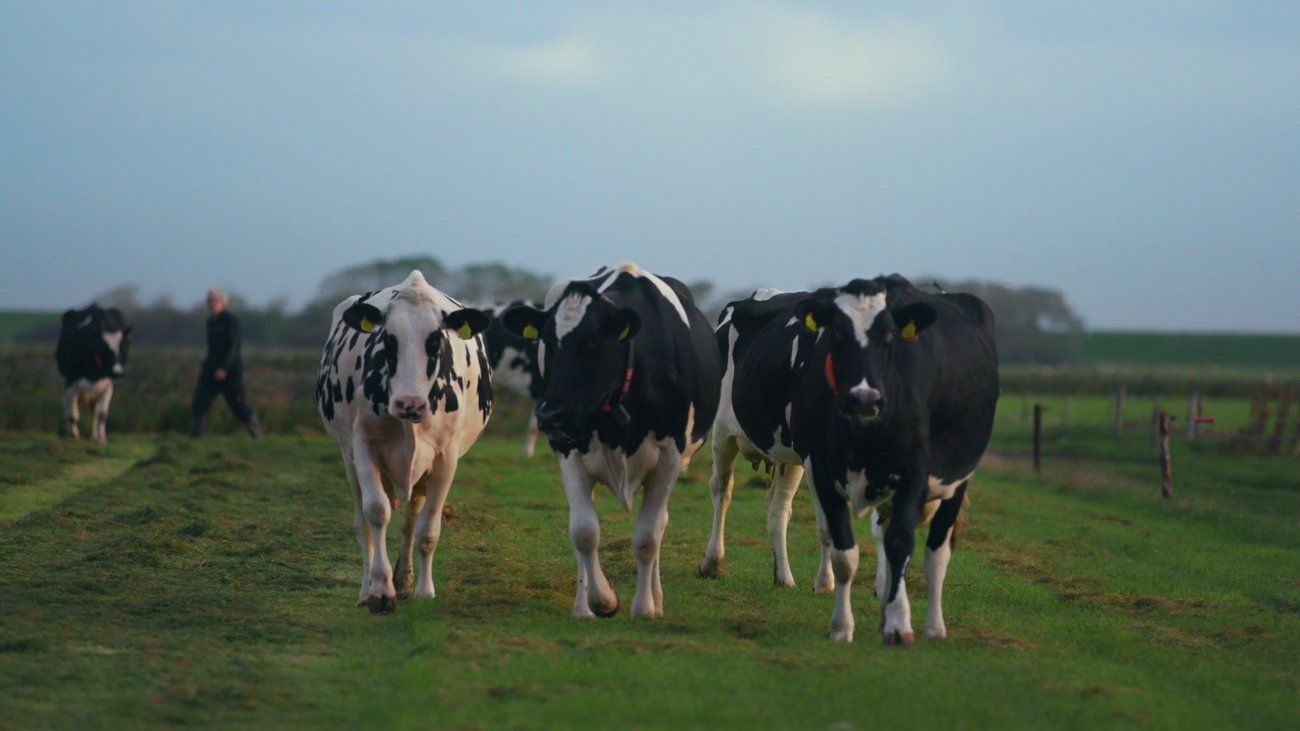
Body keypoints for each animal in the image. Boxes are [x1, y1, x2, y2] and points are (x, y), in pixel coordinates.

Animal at [55, 304, 134, 445]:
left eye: (123, 349)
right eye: (106, 349)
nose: (117, 372)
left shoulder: (109, 384)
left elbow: (102, 414)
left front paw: (101, 439)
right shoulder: (71, 380)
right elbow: (73, 414)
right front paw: (73, 435)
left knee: (94, 411)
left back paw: (93, 436)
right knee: (68, 408)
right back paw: (69, 432)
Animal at [315, 270, 493, 615]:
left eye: (435, 341)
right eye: (388, 340)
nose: (410, 403)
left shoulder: (445, 458)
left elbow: (427, 530)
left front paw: (423, 590)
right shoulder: (363, 445)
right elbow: (376, 513)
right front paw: (381, 591)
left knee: (410, 521)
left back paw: (406, 581)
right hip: (348, 456)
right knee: (364, 526)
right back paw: (367, 588)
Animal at [500, 262, 722, 618]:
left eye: (592, 342)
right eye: (546, 341)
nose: (549, 415)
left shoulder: (670, 456)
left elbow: (647, 536)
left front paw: (644, 607)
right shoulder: (569, 449)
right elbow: (584, 532)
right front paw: (600, 600)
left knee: (660, 523)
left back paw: (656, 599)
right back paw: (583, 604)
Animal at [701, 275, 998, 644]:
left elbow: (900, 538)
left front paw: (893, 600)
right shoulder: (821, 465)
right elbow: (833, 531)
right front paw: (830, 586)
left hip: (789, 457)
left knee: (778, 509)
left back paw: (784, 576)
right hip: (723, 433)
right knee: (722, 491)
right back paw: (713, 562)